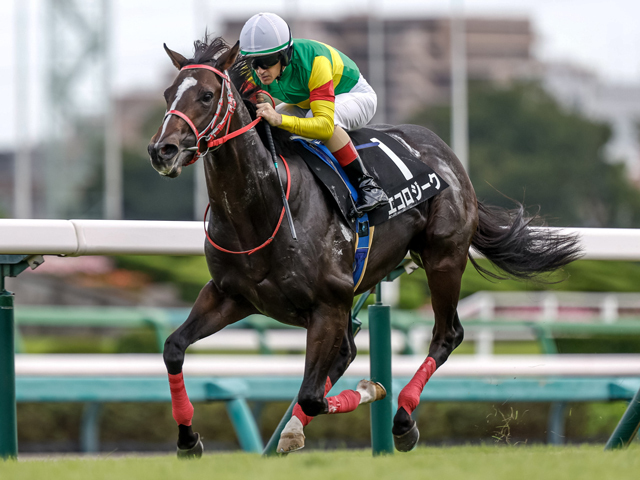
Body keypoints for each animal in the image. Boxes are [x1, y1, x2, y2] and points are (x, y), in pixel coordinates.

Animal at [148, 38, 584, 458]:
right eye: (168, 93)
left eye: (206, 95)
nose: (161, 150)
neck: (264, 208)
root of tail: (444, 152)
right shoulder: (231, 295)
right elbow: (173, 349)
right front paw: (188, 438)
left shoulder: (328, 304)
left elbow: (313, 393)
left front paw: (370, 391)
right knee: (348, 352)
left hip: (443, 259)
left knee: (446, 335)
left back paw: (403, 419)